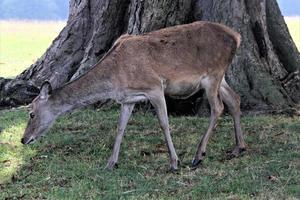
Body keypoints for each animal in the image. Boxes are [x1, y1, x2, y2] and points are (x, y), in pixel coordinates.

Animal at [21, 22, 246, 172]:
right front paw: (111, 163)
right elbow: (120, 127)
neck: (115, 78)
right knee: (235, 99)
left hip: (213, 73)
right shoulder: (127, 99)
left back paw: (198, 156)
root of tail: (237, 36)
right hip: (219, 76)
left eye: (31, 113)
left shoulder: (154, 87)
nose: (24, 139)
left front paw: (174, 162)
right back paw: (239, 148)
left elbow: (164, 123)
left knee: (218, 107)